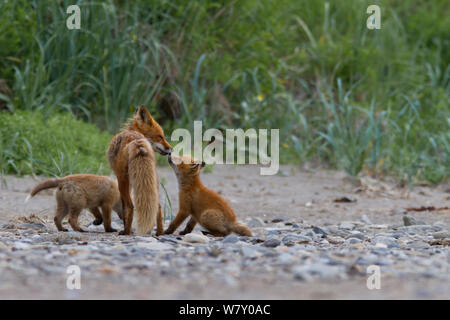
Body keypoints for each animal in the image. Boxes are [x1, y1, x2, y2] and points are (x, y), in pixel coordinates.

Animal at [107, 105, 172, 235]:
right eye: (160, 136)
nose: (171, 149)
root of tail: (136, 140)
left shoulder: (122, 180)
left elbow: (124, 208)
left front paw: (126, 227)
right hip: (153, 180)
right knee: (158, 207)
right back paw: (159, 233)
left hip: (122, 181)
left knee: (130, 206)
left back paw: (126, 231)